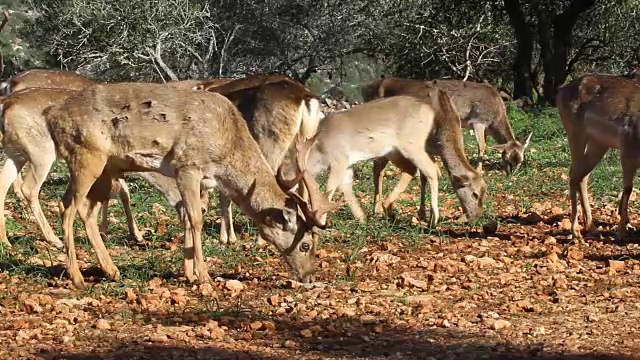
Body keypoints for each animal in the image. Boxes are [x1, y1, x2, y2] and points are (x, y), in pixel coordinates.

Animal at [0, 88, 144, 249]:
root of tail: (6, 103)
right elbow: (121, 192)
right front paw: (134, 234)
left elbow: (117, 192)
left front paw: (108, 232)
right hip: (41, 151)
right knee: (29, 188)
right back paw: (54, 240)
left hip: (15, 152)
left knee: (3, 184)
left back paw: (5, 241)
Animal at [43, 81, 336, 286]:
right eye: (306, 244)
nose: (309, 277)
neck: (228, 146)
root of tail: (51, 116)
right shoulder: (188, 165)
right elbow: (195, 219)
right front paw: (204, 277)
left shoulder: (202, 179)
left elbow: (189, 215)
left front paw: (190, 274)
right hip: (86, 156)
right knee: (67, 207)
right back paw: (76, 276)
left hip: (106, 167)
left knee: (86, 211)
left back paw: (111, 270)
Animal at [556, 74, 640, 240]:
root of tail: (561, 90)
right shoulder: (627, 149)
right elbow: (628, 188)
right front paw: (622, 232)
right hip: (575, 134)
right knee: (573, 175)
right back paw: (576, 231)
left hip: (598, 144)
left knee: (582, 176)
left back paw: (591, 227)